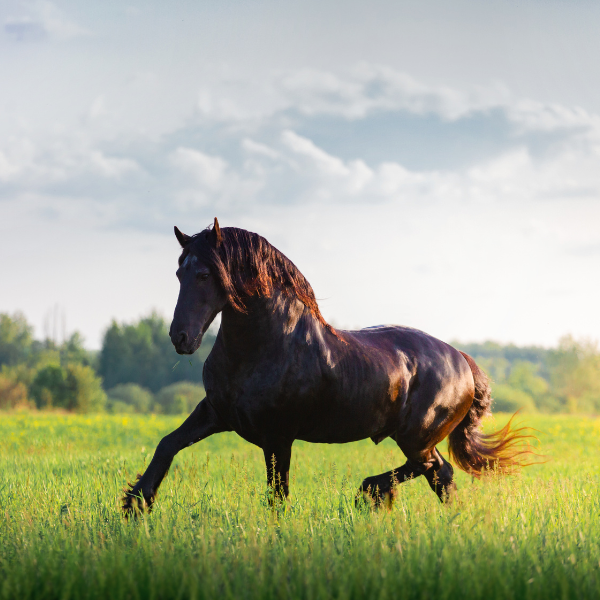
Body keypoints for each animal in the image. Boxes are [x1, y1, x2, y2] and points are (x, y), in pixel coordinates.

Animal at [123, 220, 528, 516]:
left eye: (206, 275)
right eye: (180, 273)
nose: (181, 337)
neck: (266, 347)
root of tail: (462, 360)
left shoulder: (277, 437)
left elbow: (278, 495)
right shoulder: (216, 413)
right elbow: (167, 444)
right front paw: (136, 504)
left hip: (416, 435)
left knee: (433, 468)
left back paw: (370, 492)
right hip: (416, 437)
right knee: (438, 473)